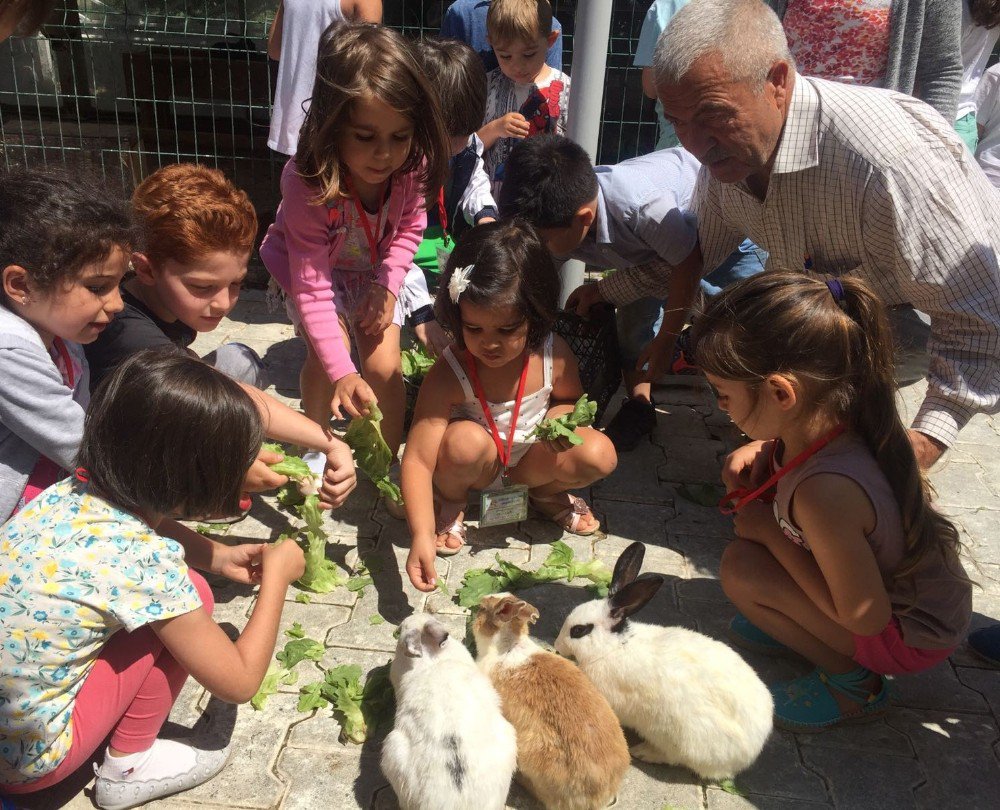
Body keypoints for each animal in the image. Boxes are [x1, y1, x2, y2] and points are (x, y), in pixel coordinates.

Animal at [556, 544, 772, 776]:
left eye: (579, 630)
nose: (557, 647)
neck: (614, 647)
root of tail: (749, 753)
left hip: (680, 740)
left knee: (673, 757)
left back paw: (643, 752)